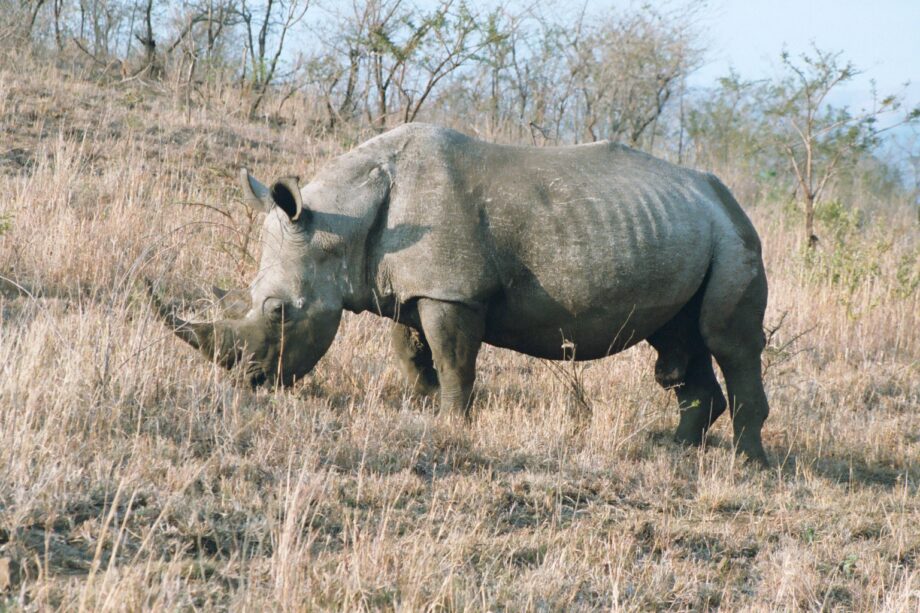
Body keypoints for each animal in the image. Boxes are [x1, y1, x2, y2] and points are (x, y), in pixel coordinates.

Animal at [151, 123, 771, 465]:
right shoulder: (411, 287)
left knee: (726, 340)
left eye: (279, 312)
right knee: (678, 340)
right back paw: (677, 450)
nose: (250, 381)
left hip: (736, 235)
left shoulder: (452, 292)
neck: (342, 222)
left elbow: (453, 359)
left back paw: (748, 465)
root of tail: (725, 195)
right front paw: (427, 405)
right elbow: (410, 351)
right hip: (684, 228)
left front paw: (452, 423)